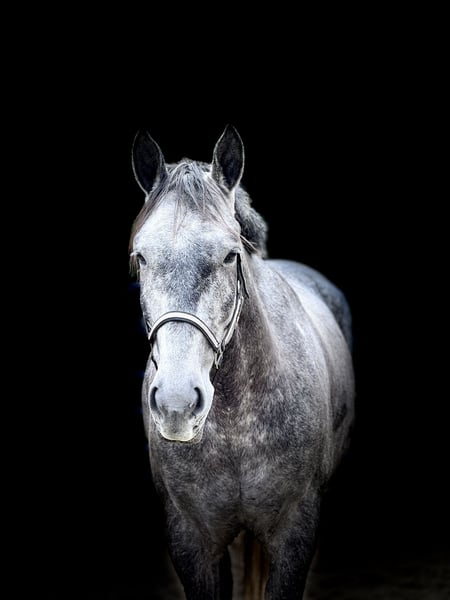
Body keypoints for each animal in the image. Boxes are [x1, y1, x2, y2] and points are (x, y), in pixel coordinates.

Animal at [128, 125, 355, 599]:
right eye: (141, 256)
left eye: (230, 254)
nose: (177, 404)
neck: (234, 427)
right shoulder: (192, 539)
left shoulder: (294, 533)